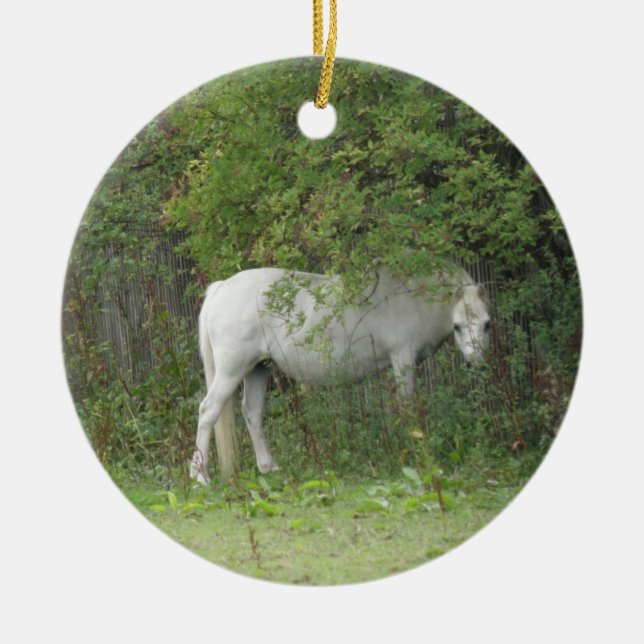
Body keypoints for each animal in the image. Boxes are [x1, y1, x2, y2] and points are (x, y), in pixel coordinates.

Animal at [189, 265, 491, 483]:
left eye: (487, 324)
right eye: (457, 326)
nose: (478, 364)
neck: (411, 297)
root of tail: (221, 288)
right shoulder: (402, 359)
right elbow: (406, 407)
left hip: (258, 369)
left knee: (252, 412)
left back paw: (269, 467)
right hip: (231, 370)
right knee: (208, 410)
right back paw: (200, 476)